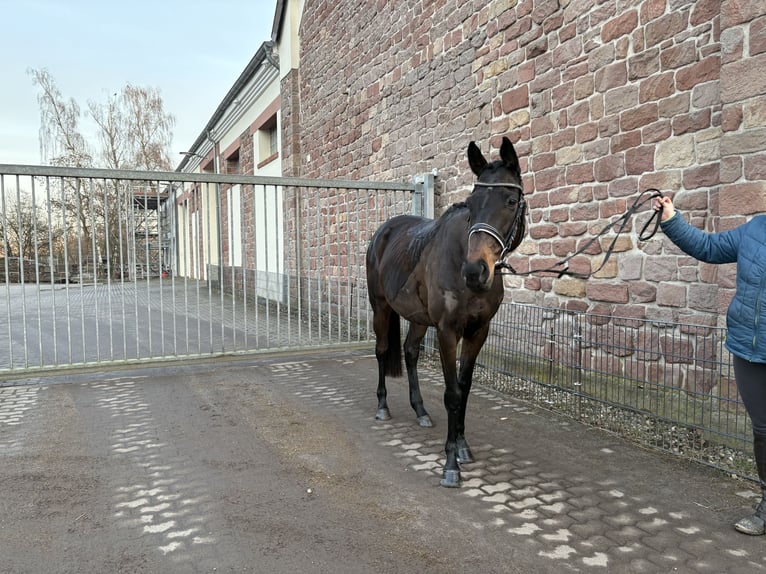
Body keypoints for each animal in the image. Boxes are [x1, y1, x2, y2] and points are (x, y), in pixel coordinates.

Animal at [365, 136, 527, 487]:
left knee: (410, 352)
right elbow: (452, 393)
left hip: (417, 318)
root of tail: (384, 230)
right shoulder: (447, 331)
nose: (475, 271)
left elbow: (464, 389)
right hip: (380, 307)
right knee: (383, 351)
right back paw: (382, 406)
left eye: (511, 200)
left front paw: (462, 447)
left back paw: (420, 411)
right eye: (472, 202)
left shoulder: (478, 331)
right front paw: (451, 465)